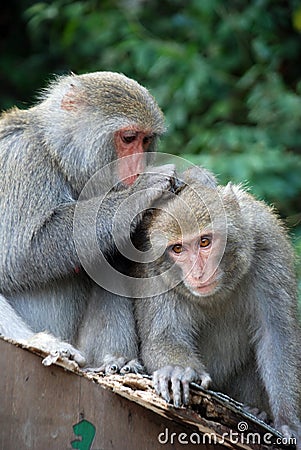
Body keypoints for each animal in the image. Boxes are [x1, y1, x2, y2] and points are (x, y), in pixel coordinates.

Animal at [0, 70, 176, 372]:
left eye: (146, 141)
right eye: (129, 137)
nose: (138, 167)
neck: (56, 155)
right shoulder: (21, 158)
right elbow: (20, 253)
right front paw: (143, 189)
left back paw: (115, 359)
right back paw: (41, 341)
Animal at [134, 168, 300, 442]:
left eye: (204, 242)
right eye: (177, 248)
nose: (199, 273)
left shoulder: (268, 245)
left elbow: (277, 337)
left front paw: (289, 423)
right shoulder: (153, 274)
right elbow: (162, 338)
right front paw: (178, 371)